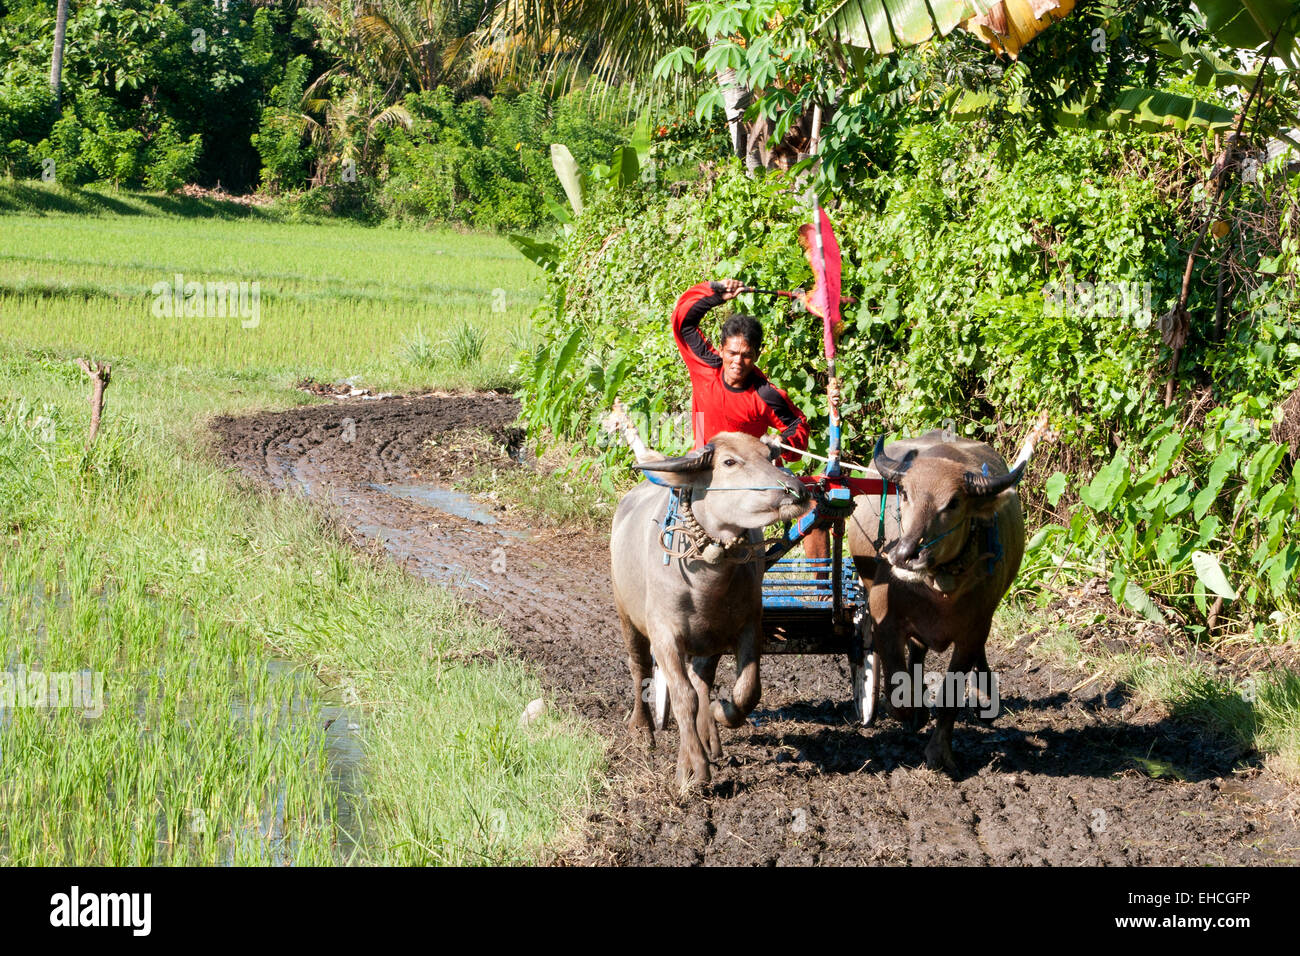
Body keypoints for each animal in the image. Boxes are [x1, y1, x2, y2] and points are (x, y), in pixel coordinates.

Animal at [611, 434, 811, 790]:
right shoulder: (665, 638)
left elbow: (747, 691)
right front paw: (696, 770)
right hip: (627, 618)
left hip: (707, 644)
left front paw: (720, 714)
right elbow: (683, 699)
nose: (797, 490)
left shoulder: (748, 627)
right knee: (640, 669)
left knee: (701, 681)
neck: (707, 582)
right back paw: (644, 729)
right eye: (729, 462)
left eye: (768, 456)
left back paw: (709, 740)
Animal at [847, 434, 1029, 780]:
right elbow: (898, 688)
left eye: (953, 503)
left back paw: (985, 699)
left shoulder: (973, 633)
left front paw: (940, 752)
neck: (937, 589)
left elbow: (950, 698)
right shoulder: (884, 619)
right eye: (905, 493)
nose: (905, 554)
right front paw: (909, 711)